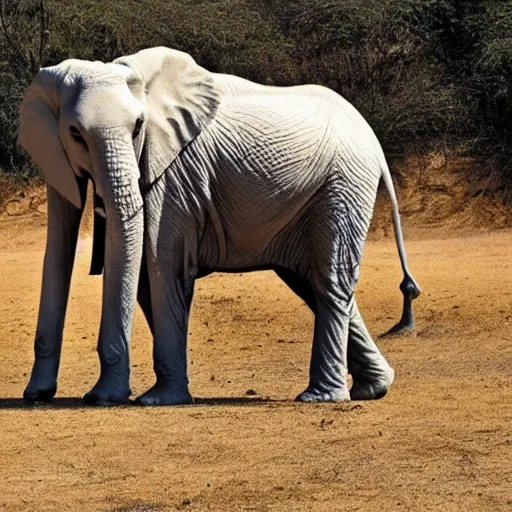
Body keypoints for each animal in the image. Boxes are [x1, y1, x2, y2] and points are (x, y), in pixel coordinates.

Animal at [19, 46, 420, 406]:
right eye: (75, 134)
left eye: (138, 127)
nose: (102, 397)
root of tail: (373, 140)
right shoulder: (56, 154)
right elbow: (110, 266)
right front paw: (39, 393)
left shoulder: (176, 172)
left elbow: (164, 265)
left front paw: (155, 400)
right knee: (309, 281)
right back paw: (374, 388)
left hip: (343, 184)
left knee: (329, 279)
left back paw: (320, 397)